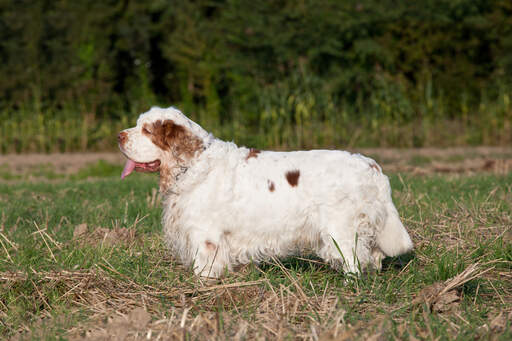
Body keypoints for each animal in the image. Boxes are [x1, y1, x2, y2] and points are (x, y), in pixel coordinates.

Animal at [118, 106, 414, 276]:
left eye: (147, 130)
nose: (119, 136)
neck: (194, 164)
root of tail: (371, 165)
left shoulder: (206, 236)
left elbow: (205, 268)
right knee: (374, 256)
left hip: (341, 230)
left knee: (355, 260)